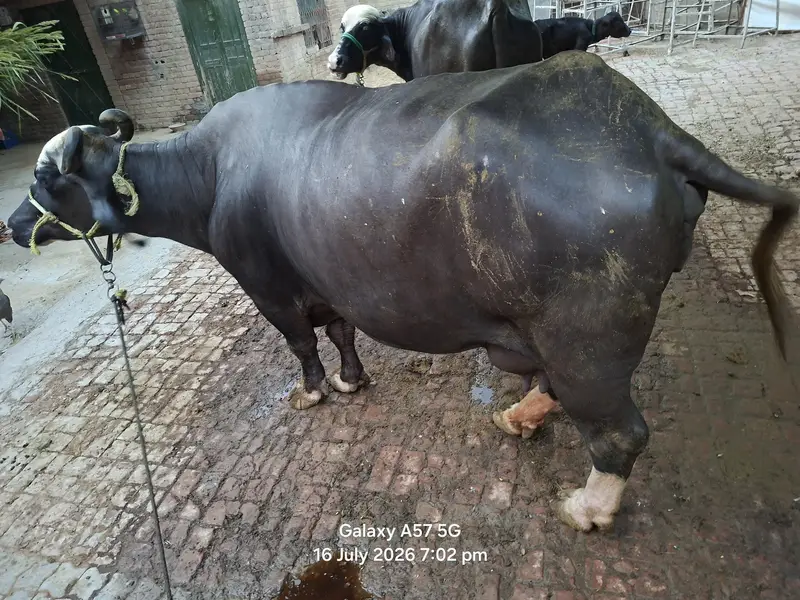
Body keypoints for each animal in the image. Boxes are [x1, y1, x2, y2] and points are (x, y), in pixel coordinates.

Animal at [7, 53, 798, 532]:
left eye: (48, 180)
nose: (13, 223)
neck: (213, 172)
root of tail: (648, 128)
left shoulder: (266, 287)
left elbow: (301, 344)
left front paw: (314, 393)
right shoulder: (327, 284)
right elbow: (340, 332)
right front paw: (353, 380)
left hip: (591, 339)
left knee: (618, 432)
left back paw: (586, 507)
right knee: (557, 390)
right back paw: (519, 415)